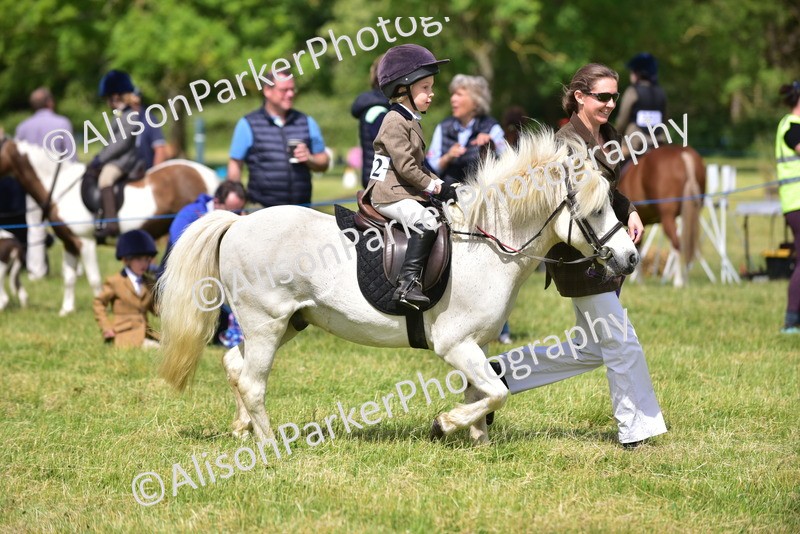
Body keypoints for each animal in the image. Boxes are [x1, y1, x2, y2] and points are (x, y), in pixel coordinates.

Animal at [0, 136, 219, 315]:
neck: (61, 188)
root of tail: (208, 174)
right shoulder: (70, 243)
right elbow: (69, 278)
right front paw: (66, 310)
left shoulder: (85, 242)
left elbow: (94, 278)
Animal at [156, 127, 640, 446]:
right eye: (597, 209)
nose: (631, 258)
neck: (486, 244)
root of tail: (238, 222)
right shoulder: (455, 343)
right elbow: (496, 393)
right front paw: (446, 424)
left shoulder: (478, 343)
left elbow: (485, 392)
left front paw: (478, 443)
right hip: (265, 324)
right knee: (254, 383)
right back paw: (269, 445)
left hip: (289, 323)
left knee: (236, 367)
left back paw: (243, 431)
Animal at [617, 145, 705, 286]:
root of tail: (684, 155)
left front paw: (639, 282)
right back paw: (685, 280)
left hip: (667, 217)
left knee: (677, 244)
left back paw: (678, 281)